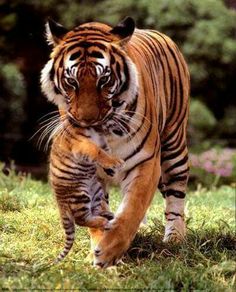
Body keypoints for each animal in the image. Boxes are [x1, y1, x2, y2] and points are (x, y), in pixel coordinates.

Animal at [40, 15, 190, 266]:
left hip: (175, 145)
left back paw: (175, 238)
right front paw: (99, 246)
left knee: (175, 197)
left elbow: (132, 209)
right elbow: (99, 211)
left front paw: (109, 251)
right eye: (72, 82)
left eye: (104, 80)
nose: (87, 120)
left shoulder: (147, 162)